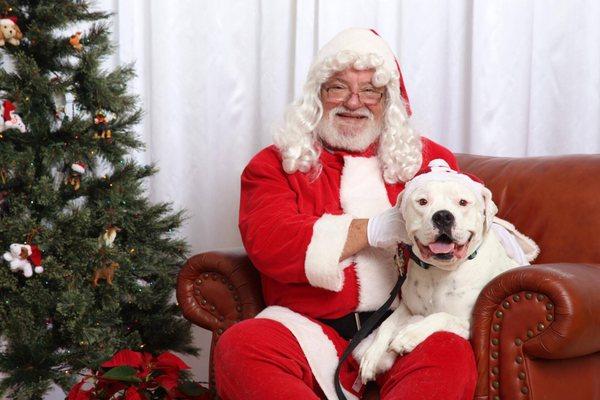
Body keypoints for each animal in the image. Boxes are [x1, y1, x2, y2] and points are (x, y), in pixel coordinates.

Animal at [356, 159, 540, 382]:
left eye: (463, 202)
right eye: (422, 202)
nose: (443, 216)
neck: (438, 271)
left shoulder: (468, 324)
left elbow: (440, 316)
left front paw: (409, 335)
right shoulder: (408, 308)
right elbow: (385, 325)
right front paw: (372, 356)